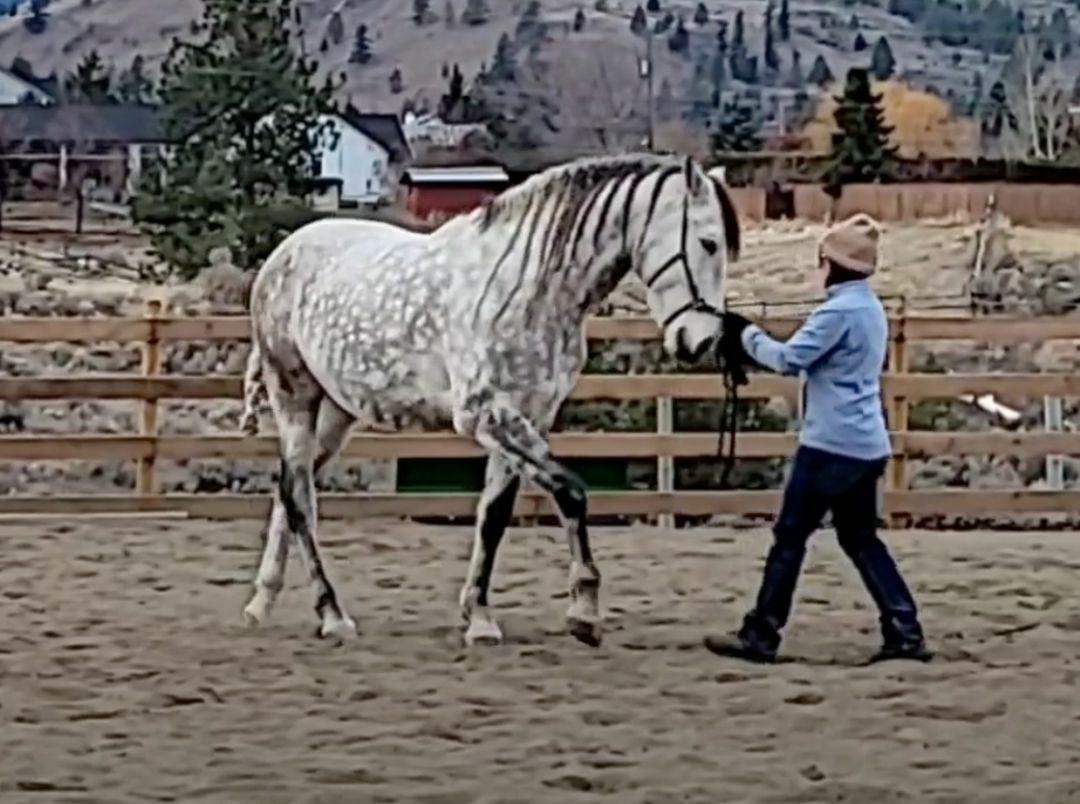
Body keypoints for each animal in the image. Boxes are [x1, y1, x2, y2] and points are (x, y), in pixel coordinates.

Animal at [239, 152, 742, 648]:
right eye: (708, 242)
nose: (699, 342)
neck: (529, 288)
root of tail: (280, 257)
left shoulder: (528, 417)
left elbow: (494, 516)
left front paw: (479, 617)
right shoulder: (487, 415)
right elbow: (571, 492)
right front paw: (583, 611)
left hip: (336, 413)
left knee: (291, 488)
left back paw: (262, 601)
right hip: (294, 396)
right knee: (298, 497)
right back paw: (332, 614)